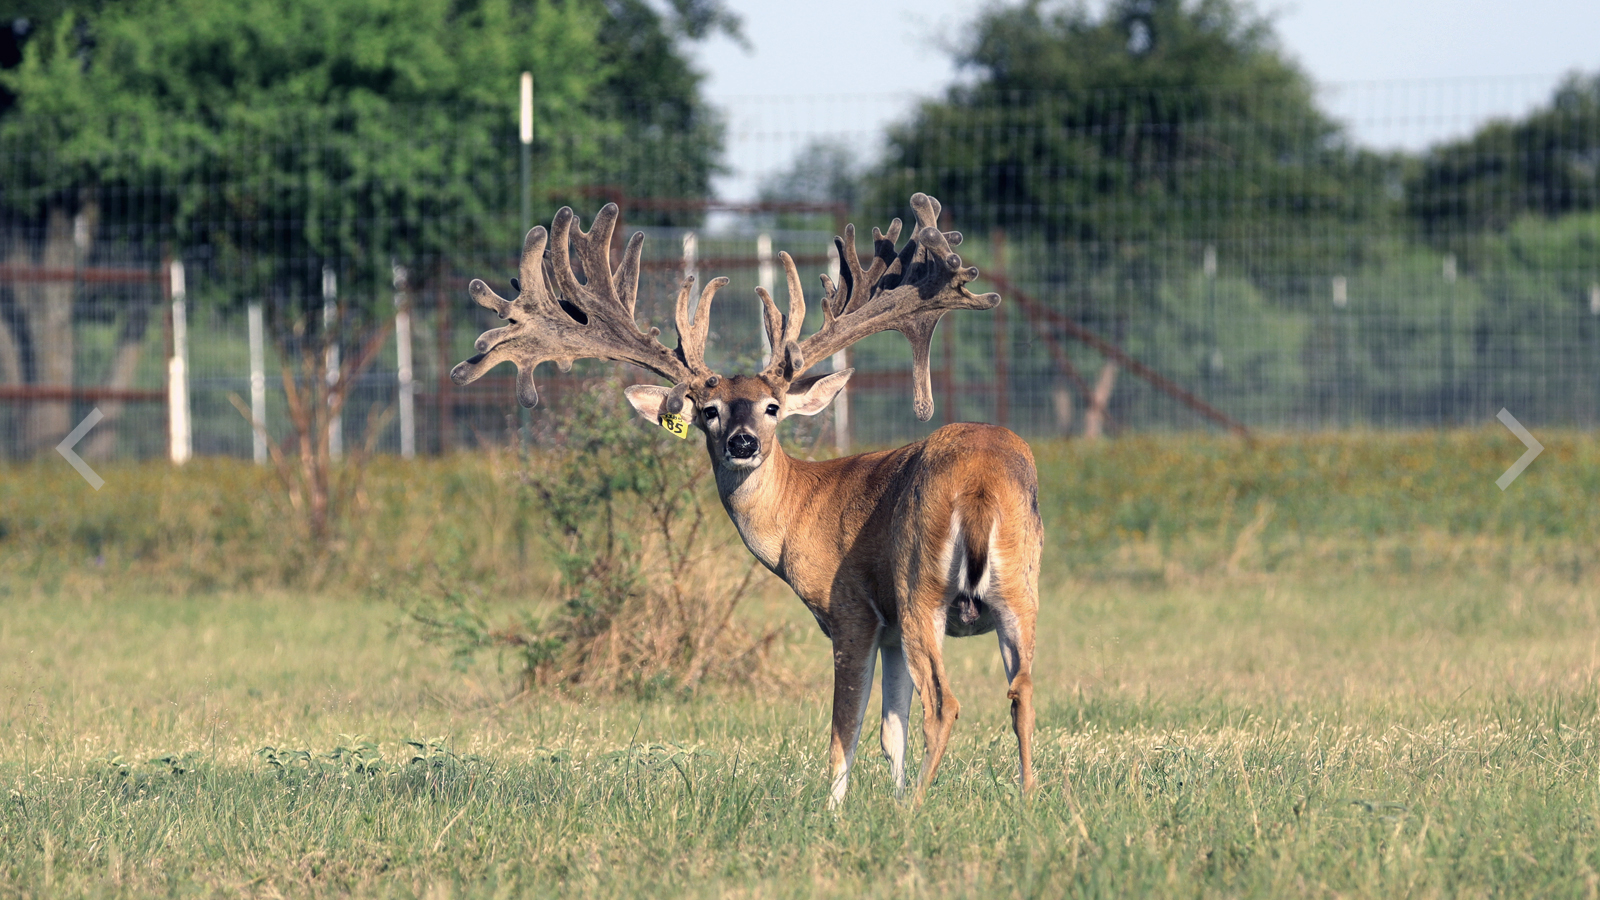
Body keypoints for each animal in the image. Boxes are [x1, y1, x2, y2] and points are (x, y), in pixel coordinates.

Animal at [454, 194, 1049, 797]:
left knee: (946, 704)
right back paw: (1024, 798)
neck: (803, 507)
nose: (743, 442)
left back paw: (922, 808)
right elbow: (891, 733)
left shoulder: (853, 609)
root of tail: (979, 484)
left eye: (772, 407)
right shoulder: (888, 630)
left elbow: (845, 733)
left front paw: (838, 808)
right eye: (709, 411)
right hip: (1019, 588)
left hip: (920, 589)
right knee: (1022, 692)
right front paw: (889, 798)